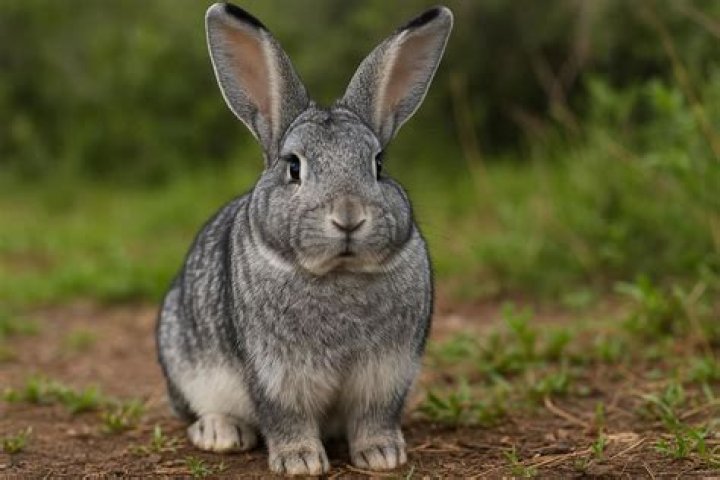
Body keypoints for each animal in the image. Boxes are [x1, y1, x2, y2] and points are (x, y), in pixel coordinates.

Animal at [156, 2, 452, 475]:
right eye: (293, 166)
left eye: (378, 165)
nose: (348, 216)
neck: (340, 273)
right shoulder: (276, 375)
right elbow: (286, 417)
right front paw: (300, 462)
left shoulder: (387, 373)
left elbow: (375, 416)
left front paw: (382, 455)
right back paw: (221, 432)